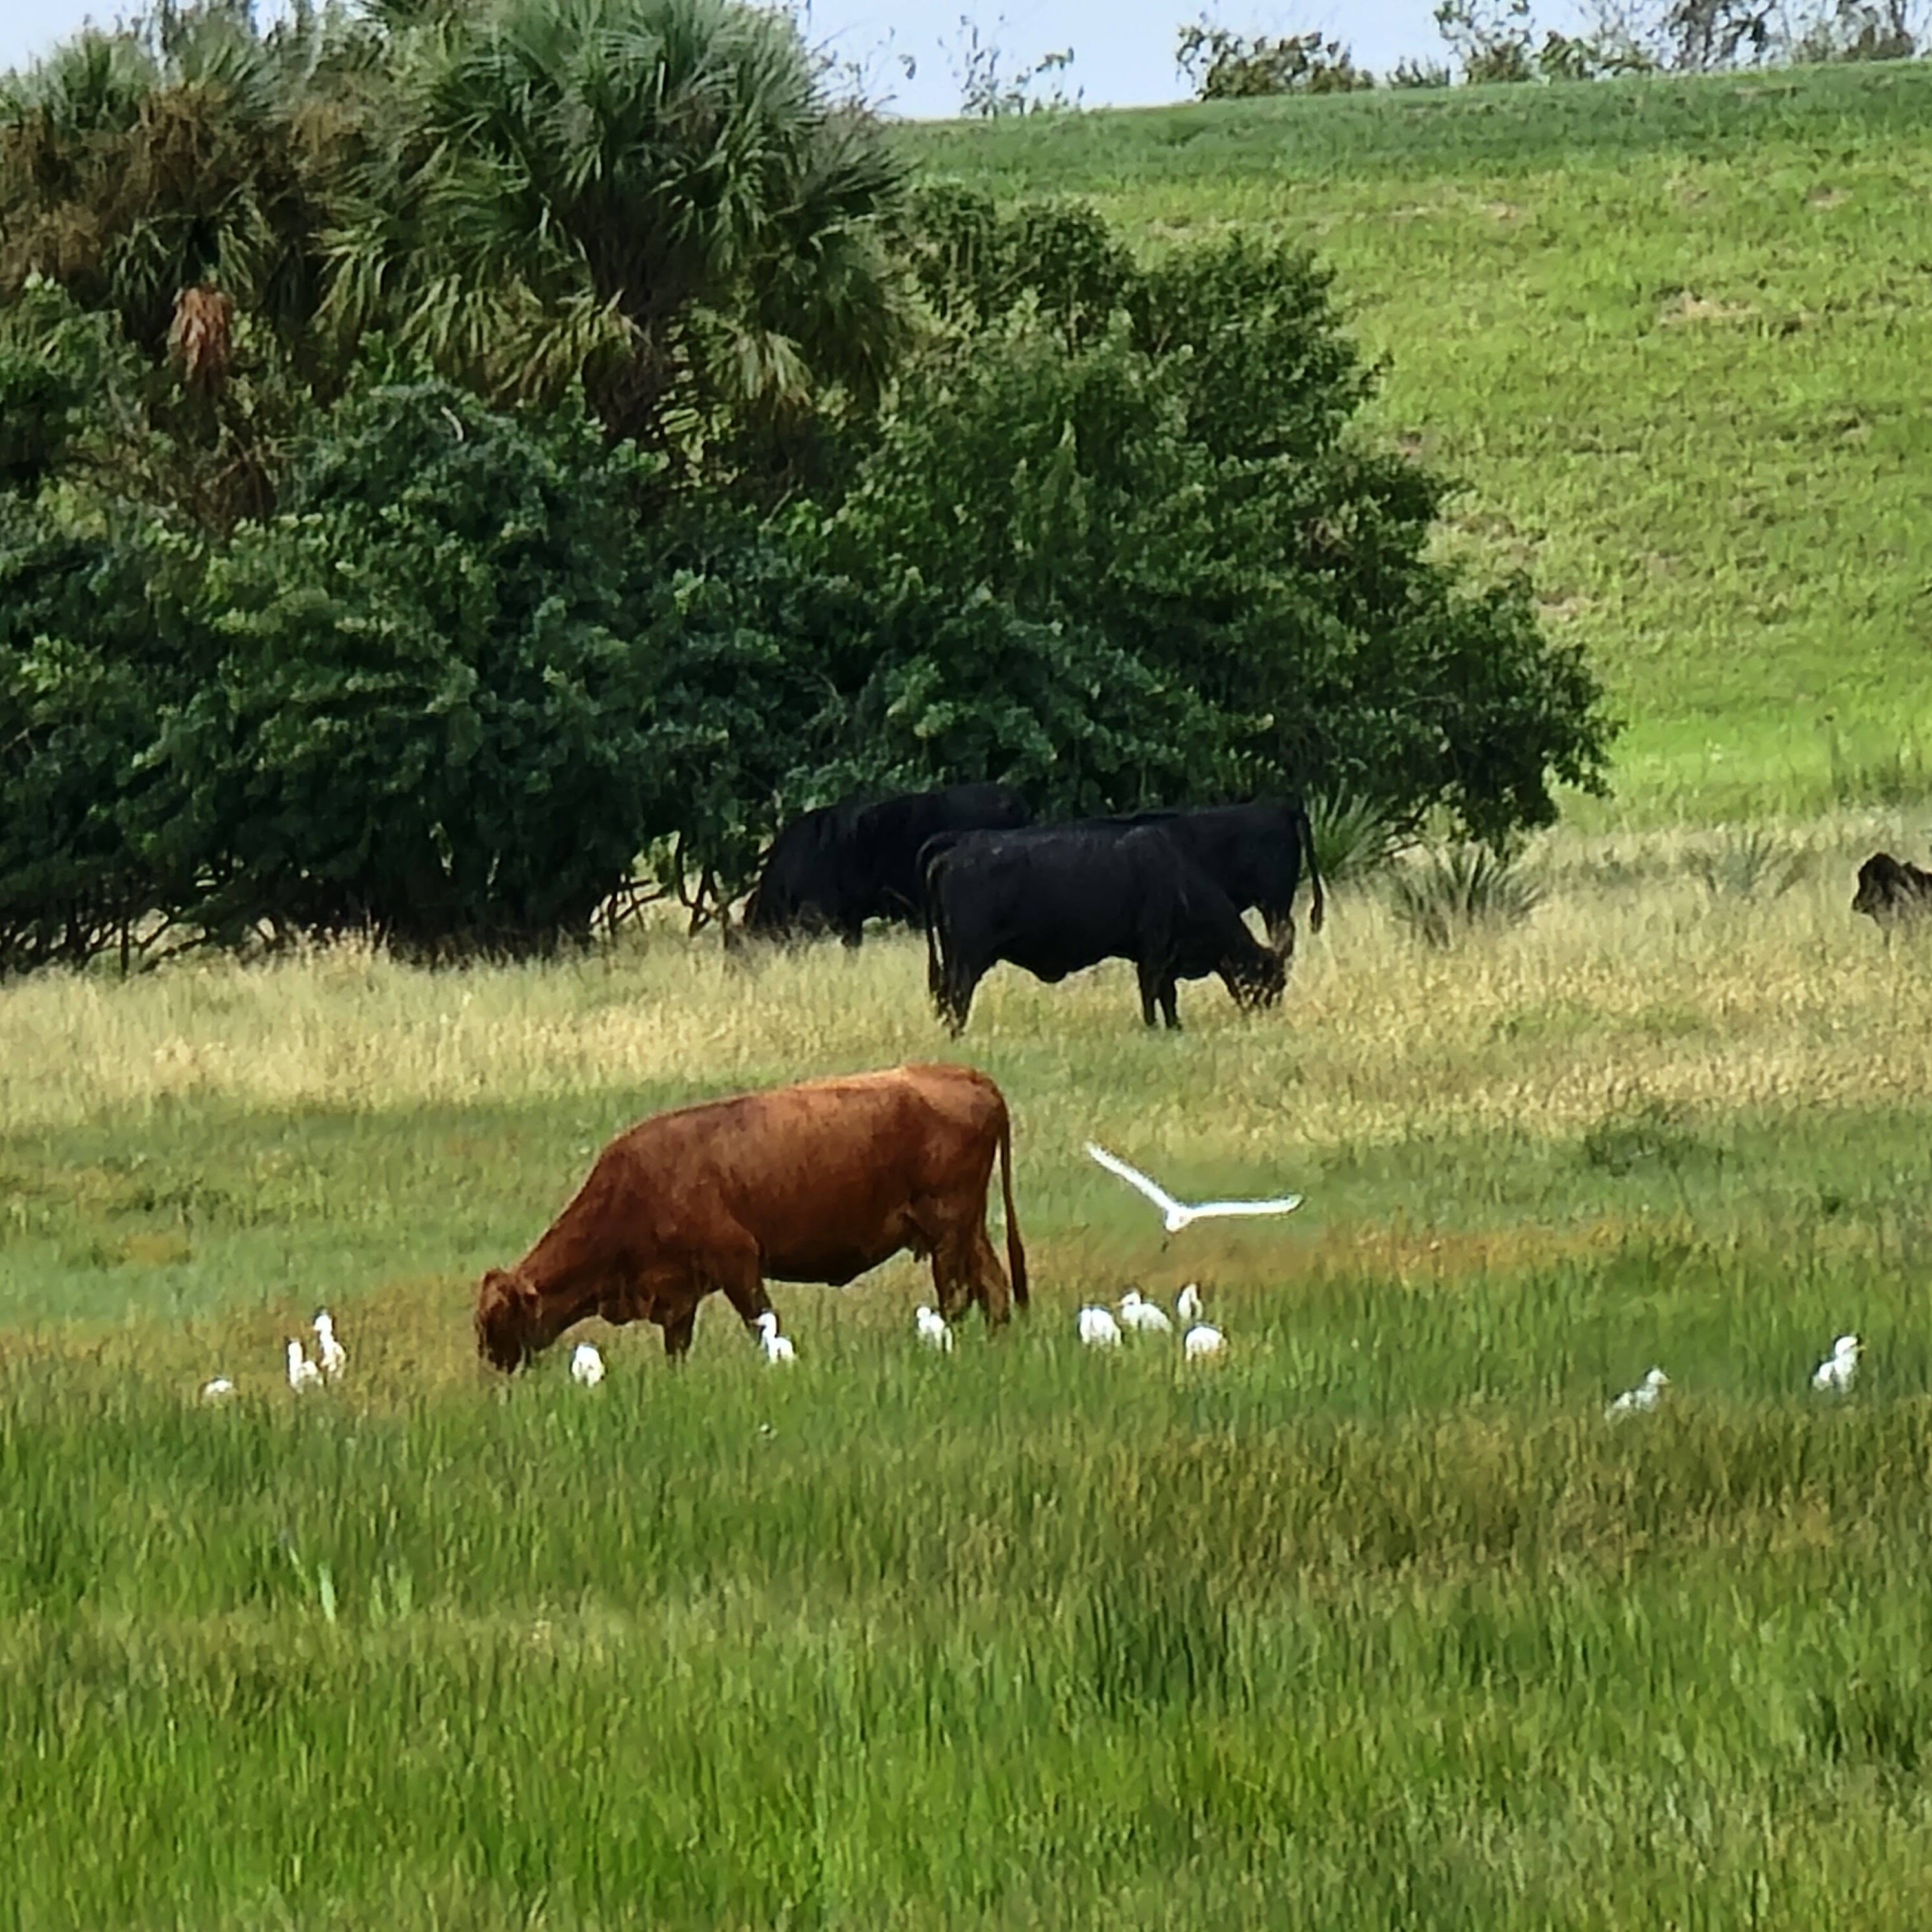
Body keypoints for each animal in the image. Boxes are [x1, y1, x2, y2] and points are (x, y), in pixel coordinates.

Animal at [474, 1064, 1027, 1371]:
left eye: (494, 1319)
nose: (489, 1363)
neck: (633, 1188)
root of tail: (963, 1074)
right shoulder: (679, 1294)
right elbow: (677, 1348)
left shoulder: (739, 1265)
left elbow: (761, 1325)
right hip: (968, 1230)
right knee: (994, 1291)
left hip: (947, 1231)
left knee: (957, 1298)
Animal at [923, 823, 1287, 1033]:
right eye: (1273, 982)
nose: (1269, 1018)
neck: (1178, 881)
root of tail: (957, 848)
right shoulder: (1153, 954)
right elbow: (1152, 994)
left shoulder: (1164, 958)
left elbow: (1168, 997)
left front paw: (1175, 1026)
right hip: (968, 958)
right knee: (958, 995)